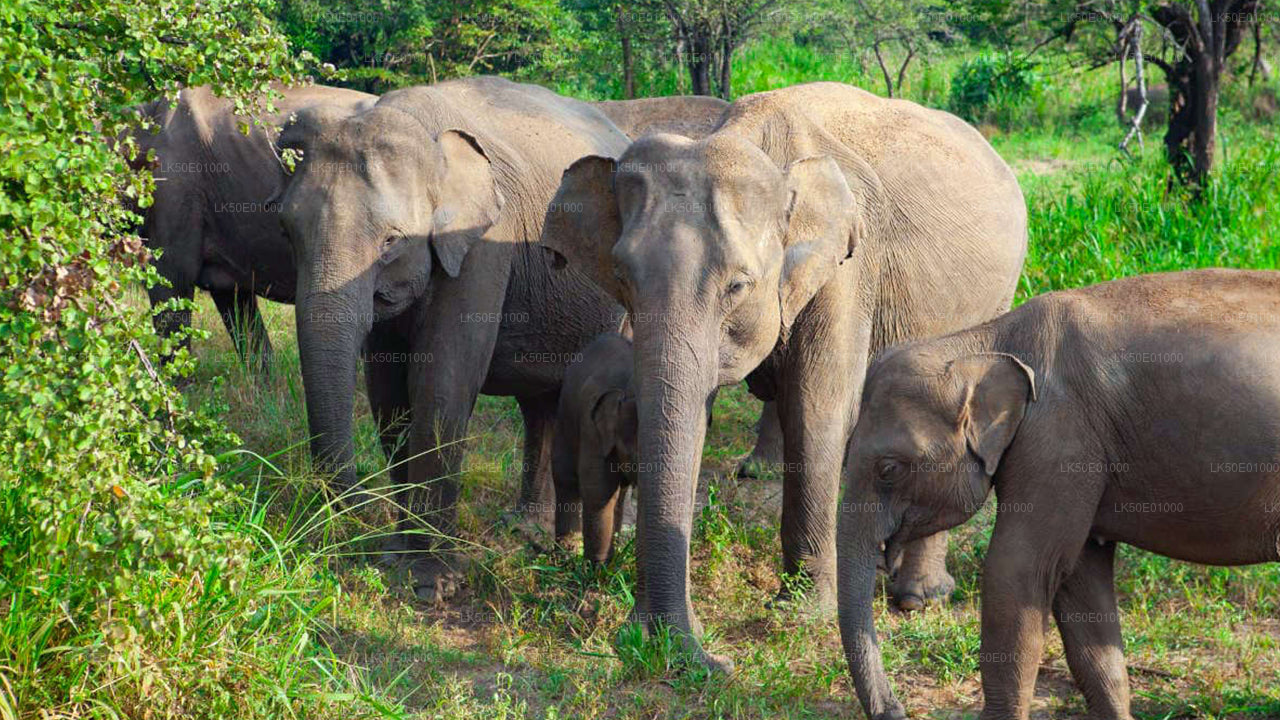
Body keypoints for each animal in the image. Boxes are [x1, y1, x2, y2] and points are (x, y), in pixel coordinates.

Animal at [552, 332, 639, 563]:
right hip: (565, 415)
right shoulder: (592, 429)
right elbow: (598, 490)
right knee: (565, 478)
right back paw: (564, 555)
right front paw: (599, 568)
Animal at [837, 268, 1280, 720]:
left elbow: (1019, 571)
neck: (984, 342)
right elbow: (1080, 585)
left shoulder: (1059, 439)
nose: (895, 710)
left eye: (889, 469)